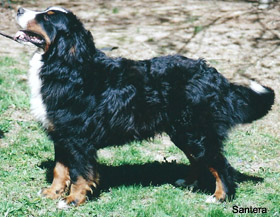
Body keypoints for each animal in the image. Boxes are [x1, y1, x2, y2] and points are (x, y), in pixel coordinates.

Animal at [14, 6, 274, 207]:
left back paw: (220, 197)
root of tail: (215, 76)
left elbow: (81, 174)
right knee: (201, 160)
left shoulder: (78, 139)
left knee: (221, 165)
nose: (18, 9)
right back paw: (189, 183)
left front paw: (72, 200)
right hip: (183, 132)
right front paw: (52, 193)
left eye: (47, 18)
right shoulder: (61, 135)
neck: (66, 65)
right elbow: (60, 170)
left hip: (195, 133)